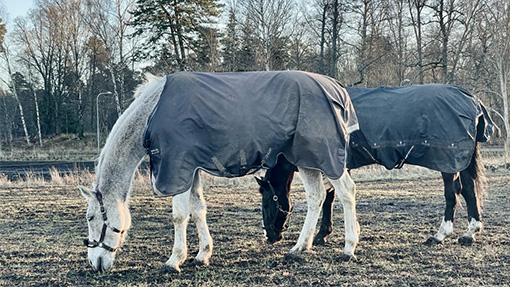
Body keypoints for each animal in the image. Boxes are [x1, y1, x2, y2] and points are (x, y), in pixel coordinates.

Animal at [78, 71, 358, 274]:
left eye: (91, 217)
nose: (95, 264)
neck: (152, 113)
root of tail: (336, 88)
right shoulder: (190, 170)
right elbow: (198, 209)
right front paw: (202, 254)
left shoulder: (177, 168)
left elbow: (180, 215)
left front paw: (174, 260)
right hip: (307, 160)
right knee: (316, 197)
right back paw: (299, 247)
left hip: (326, 157)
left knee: (346, 192)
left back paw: (349, 248)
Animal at [258, 84, 494, 262]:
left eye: (267, 200)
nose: (270, 235)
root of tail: (472, 100)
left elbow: (329, 199)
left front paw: (323, 235)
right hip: (461, 162)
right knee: (469, 191)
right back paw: (469, 233)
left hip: (448, 163)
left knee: (452, 193)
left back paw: (440, 235)